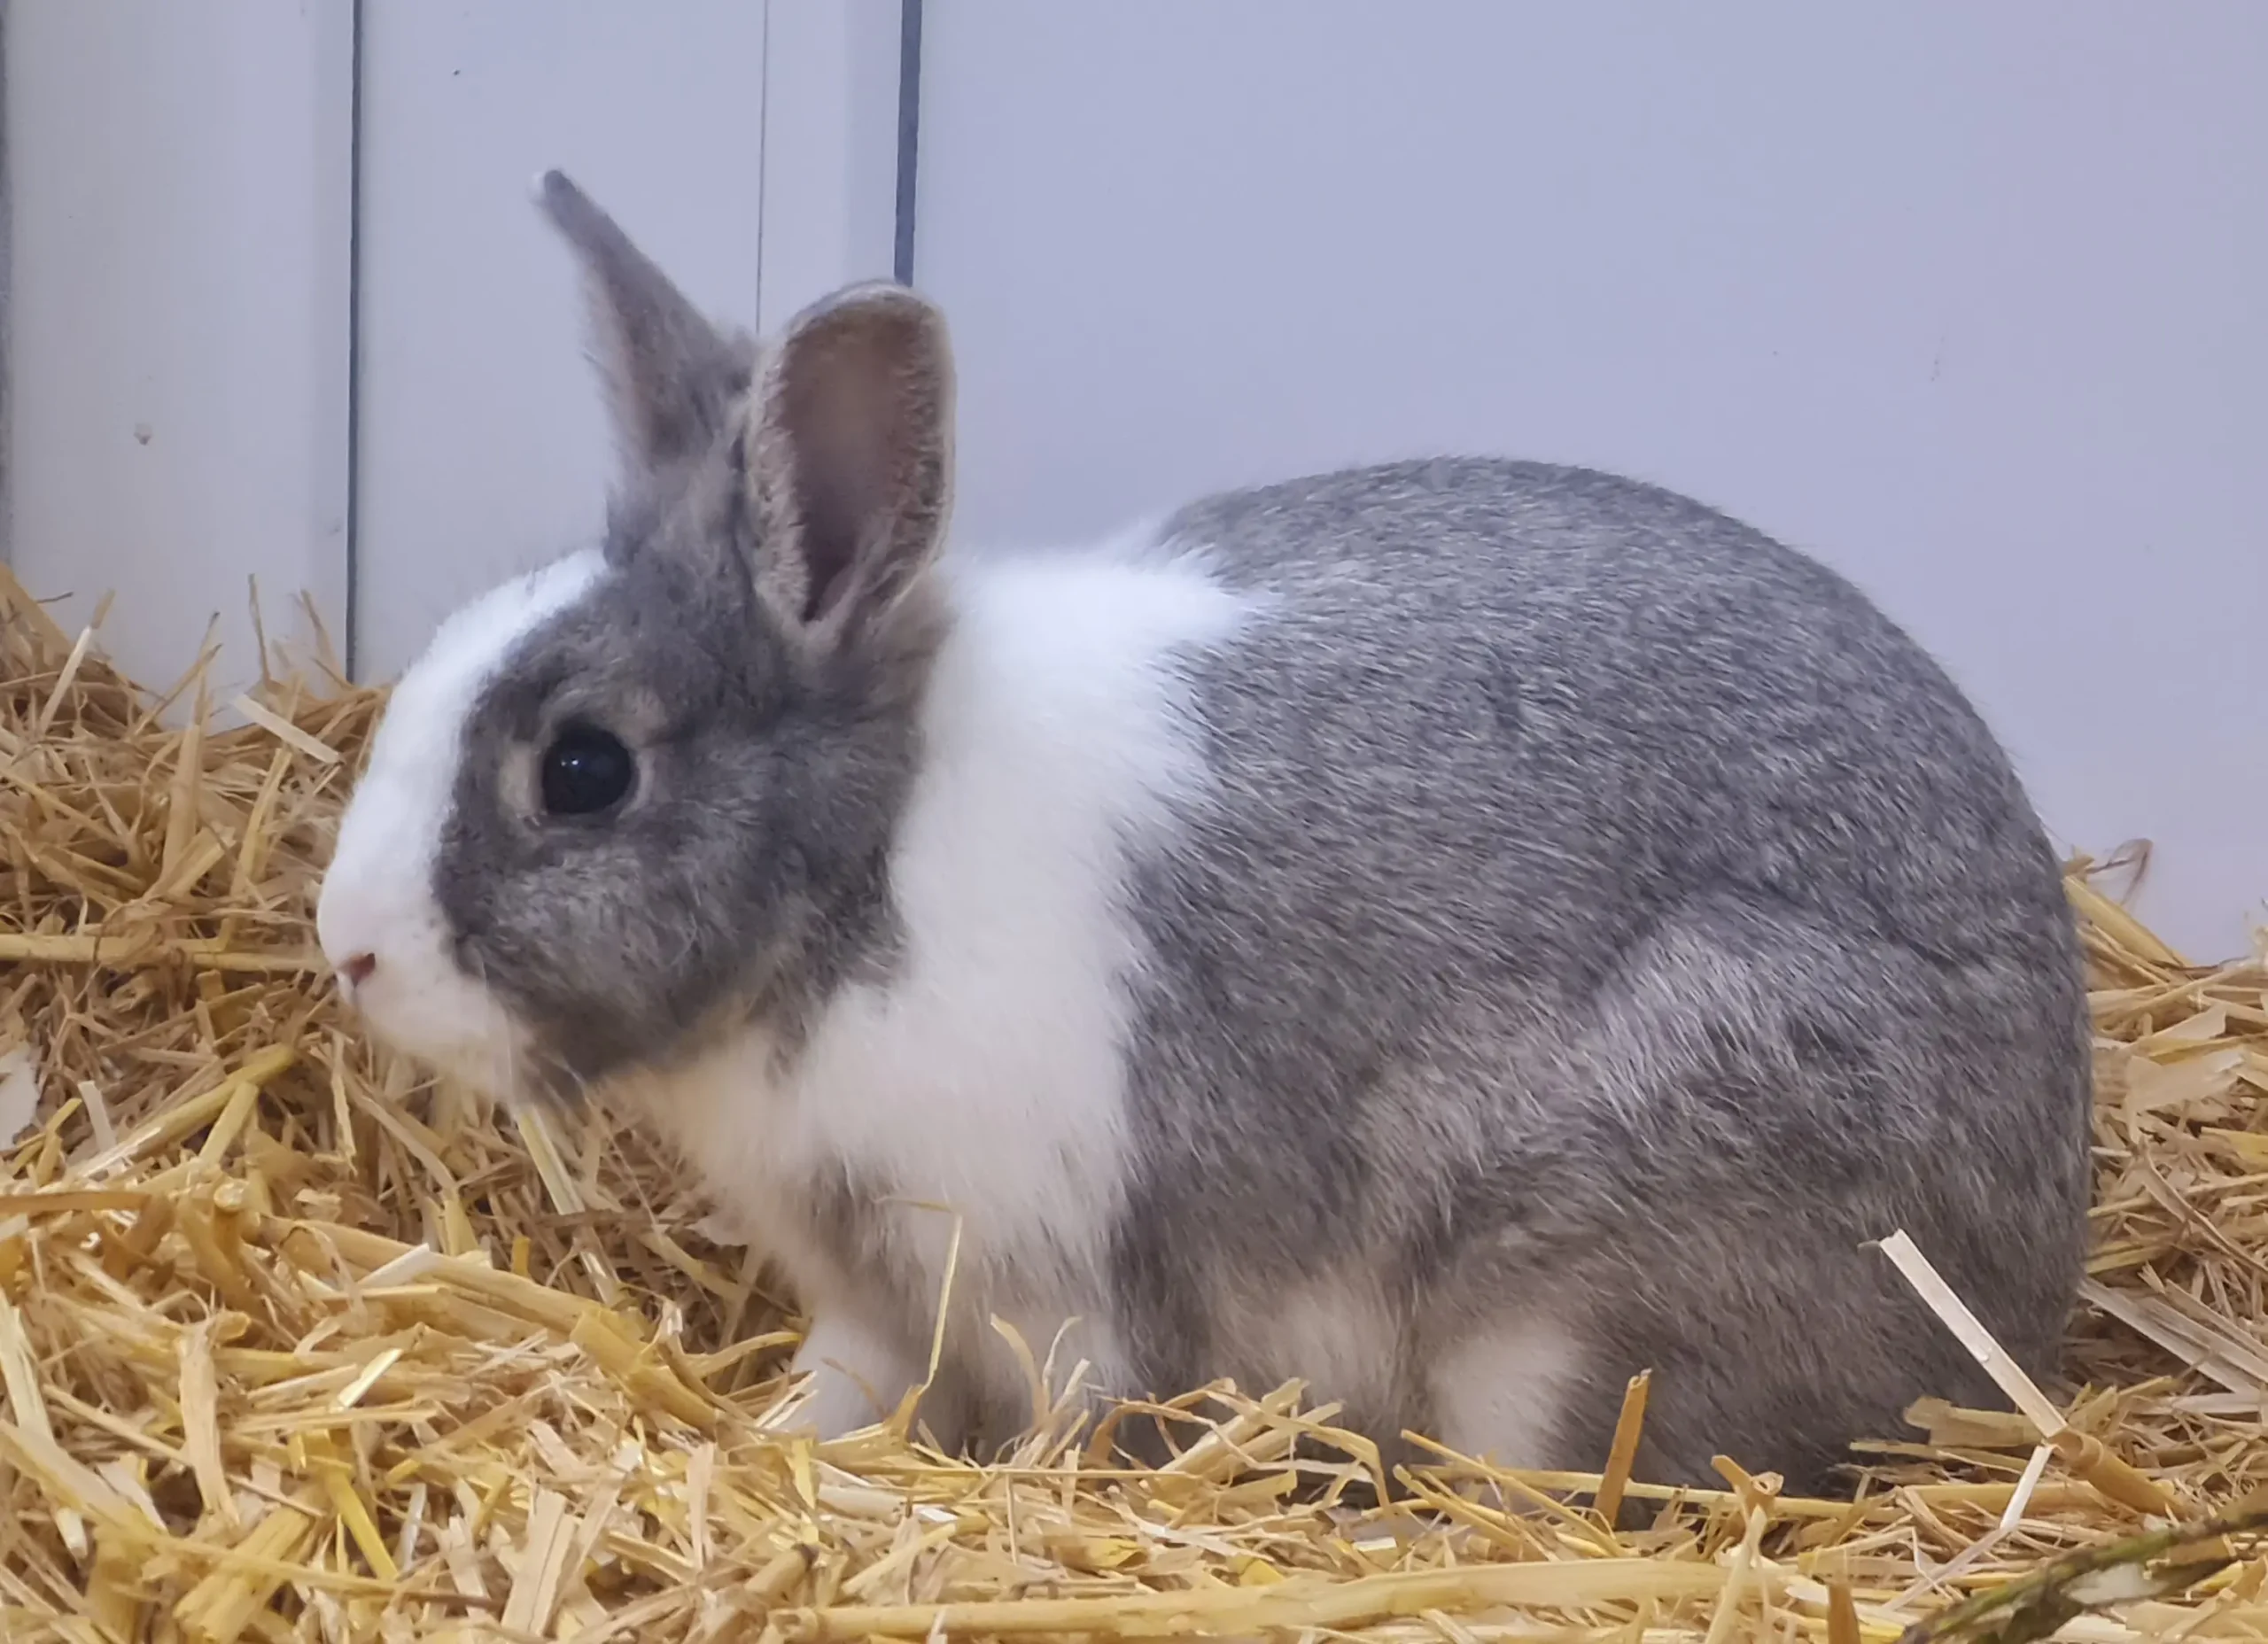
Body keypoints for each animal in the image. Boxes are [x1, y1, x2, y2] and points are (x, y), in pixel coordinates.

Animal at [319, 173, 2086, 1496]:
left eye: (586, 769)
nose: (349, 951)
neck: (866, 868)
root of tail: (2033, 1281)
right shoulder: (879, 1300)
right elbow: (843, 1392)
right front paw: (787, 1447)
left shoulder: (1051, 1284)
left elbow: (1078, 1413)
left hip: (1569, 1312)